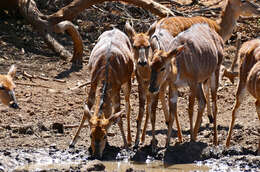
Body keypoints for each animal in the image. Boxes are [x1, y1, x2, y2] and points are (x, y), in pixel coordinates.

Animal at [68, 28, 133, 159]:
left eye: (104, 136)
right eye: (90, 135)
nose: (97, 155)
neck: (106, 71)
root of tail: (115, 29)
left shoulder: (116, 89)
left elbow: (119, 116)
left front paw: (126, 146)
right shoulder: (93, 82)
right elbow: (86, 111)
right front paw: (72, 142)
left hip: (128, 81)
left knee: (128, 105)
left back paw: (129, 140)